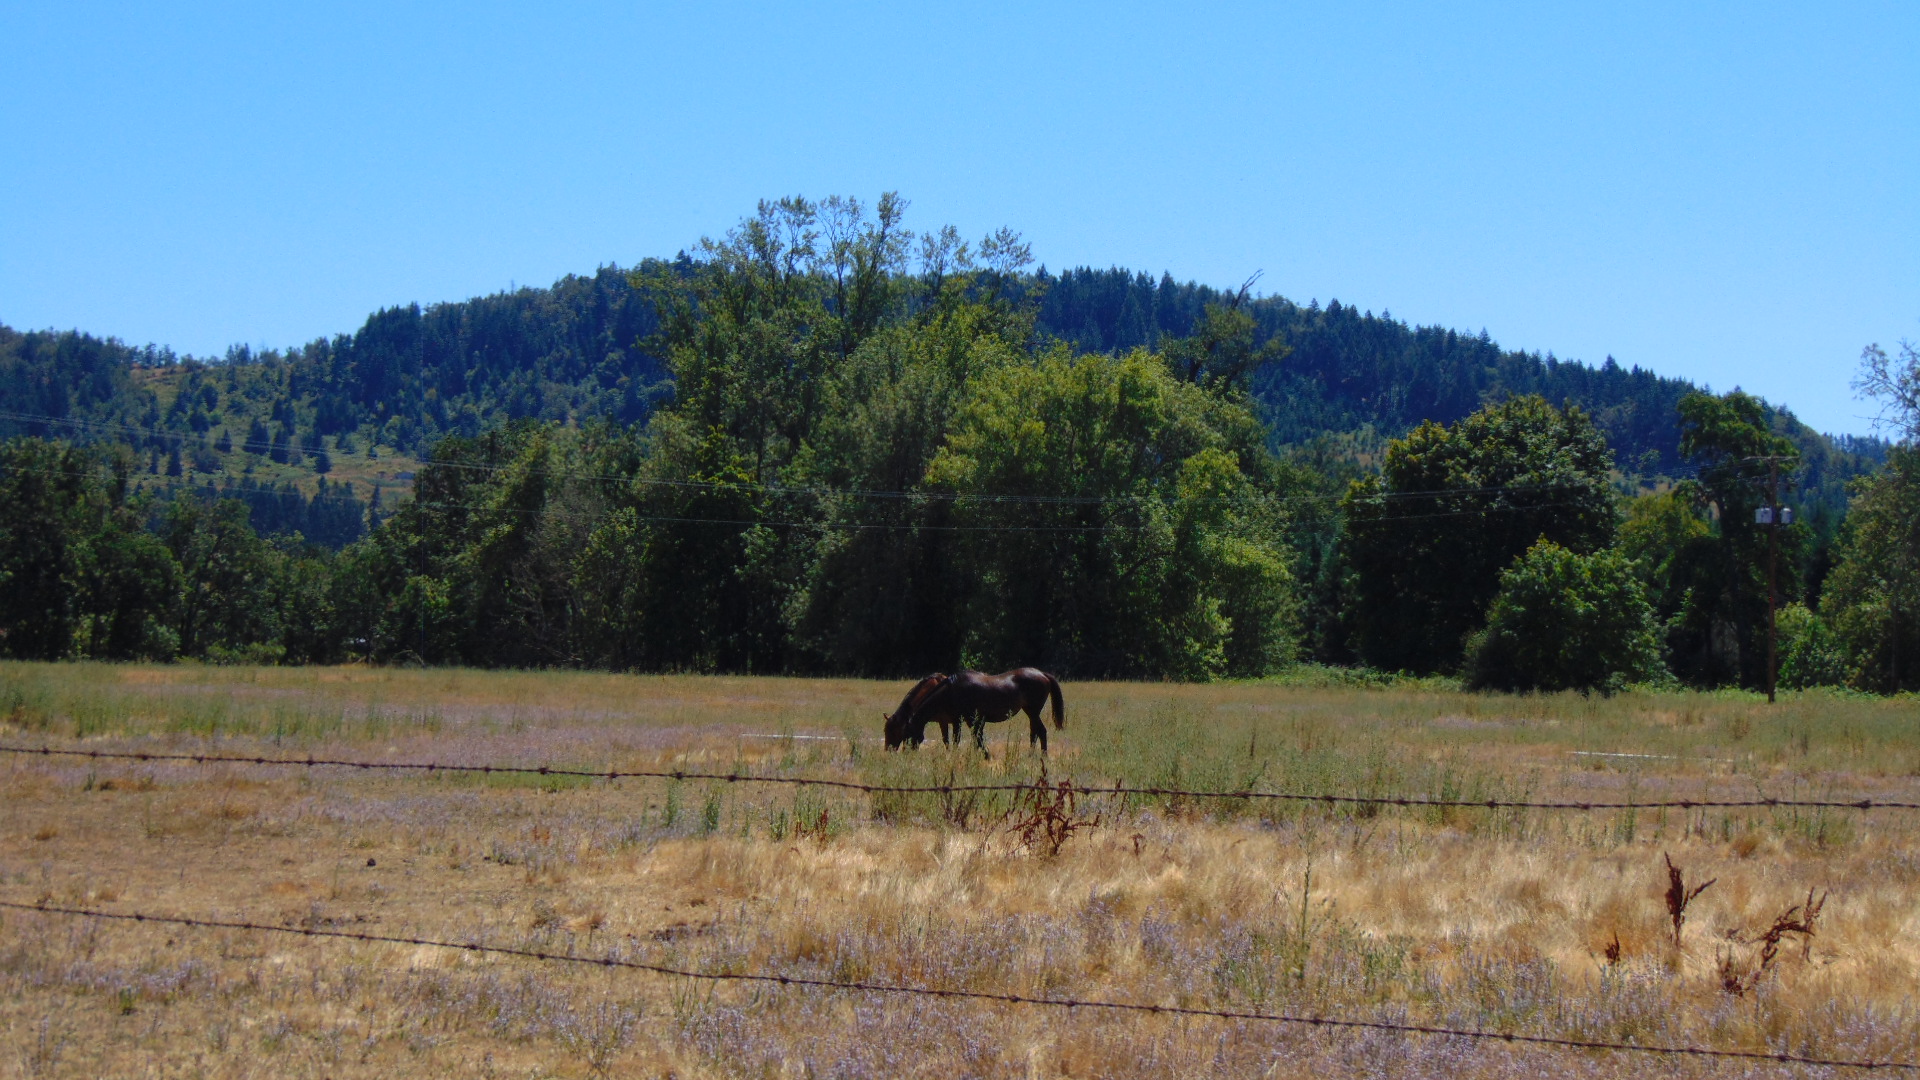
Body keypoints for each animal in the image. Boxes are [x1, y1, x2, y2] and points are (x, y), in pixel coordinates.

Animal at [883, 668, 1067, 753]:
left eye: (905, 733)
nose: (891, 750)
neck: (951, 690)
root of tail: (1042, 674)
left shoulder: (964, 719)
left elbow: (969, 738)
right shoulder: (959, 719)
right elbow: (964, 739)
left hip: (1033, 711)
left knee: (1041, 731)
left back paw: (1041, 755)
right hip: (1030, 713)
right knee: (1034, 732)